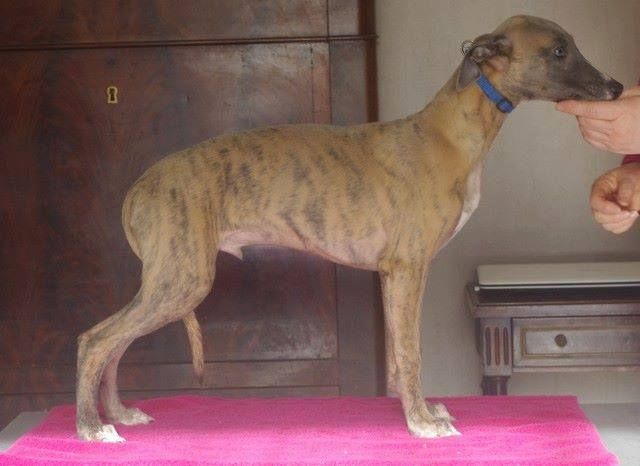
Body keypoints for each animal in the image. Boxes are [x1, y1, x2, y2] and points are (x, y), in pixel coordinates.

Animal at [76, 15, 622, 442]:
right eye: (558, 50)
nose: (617, 88)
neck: (450, 132)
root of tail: (139, 186)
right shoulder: (408, 268)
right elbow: (412, 352)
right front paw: (423, 424)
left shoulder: (395, 273)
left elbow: (401, 356)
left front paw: (417, 412)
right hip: (182, 279)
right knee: (95, 340)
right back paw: (92, 428)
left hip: (169, 281)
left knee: (114, 342)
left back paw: (119, 414)